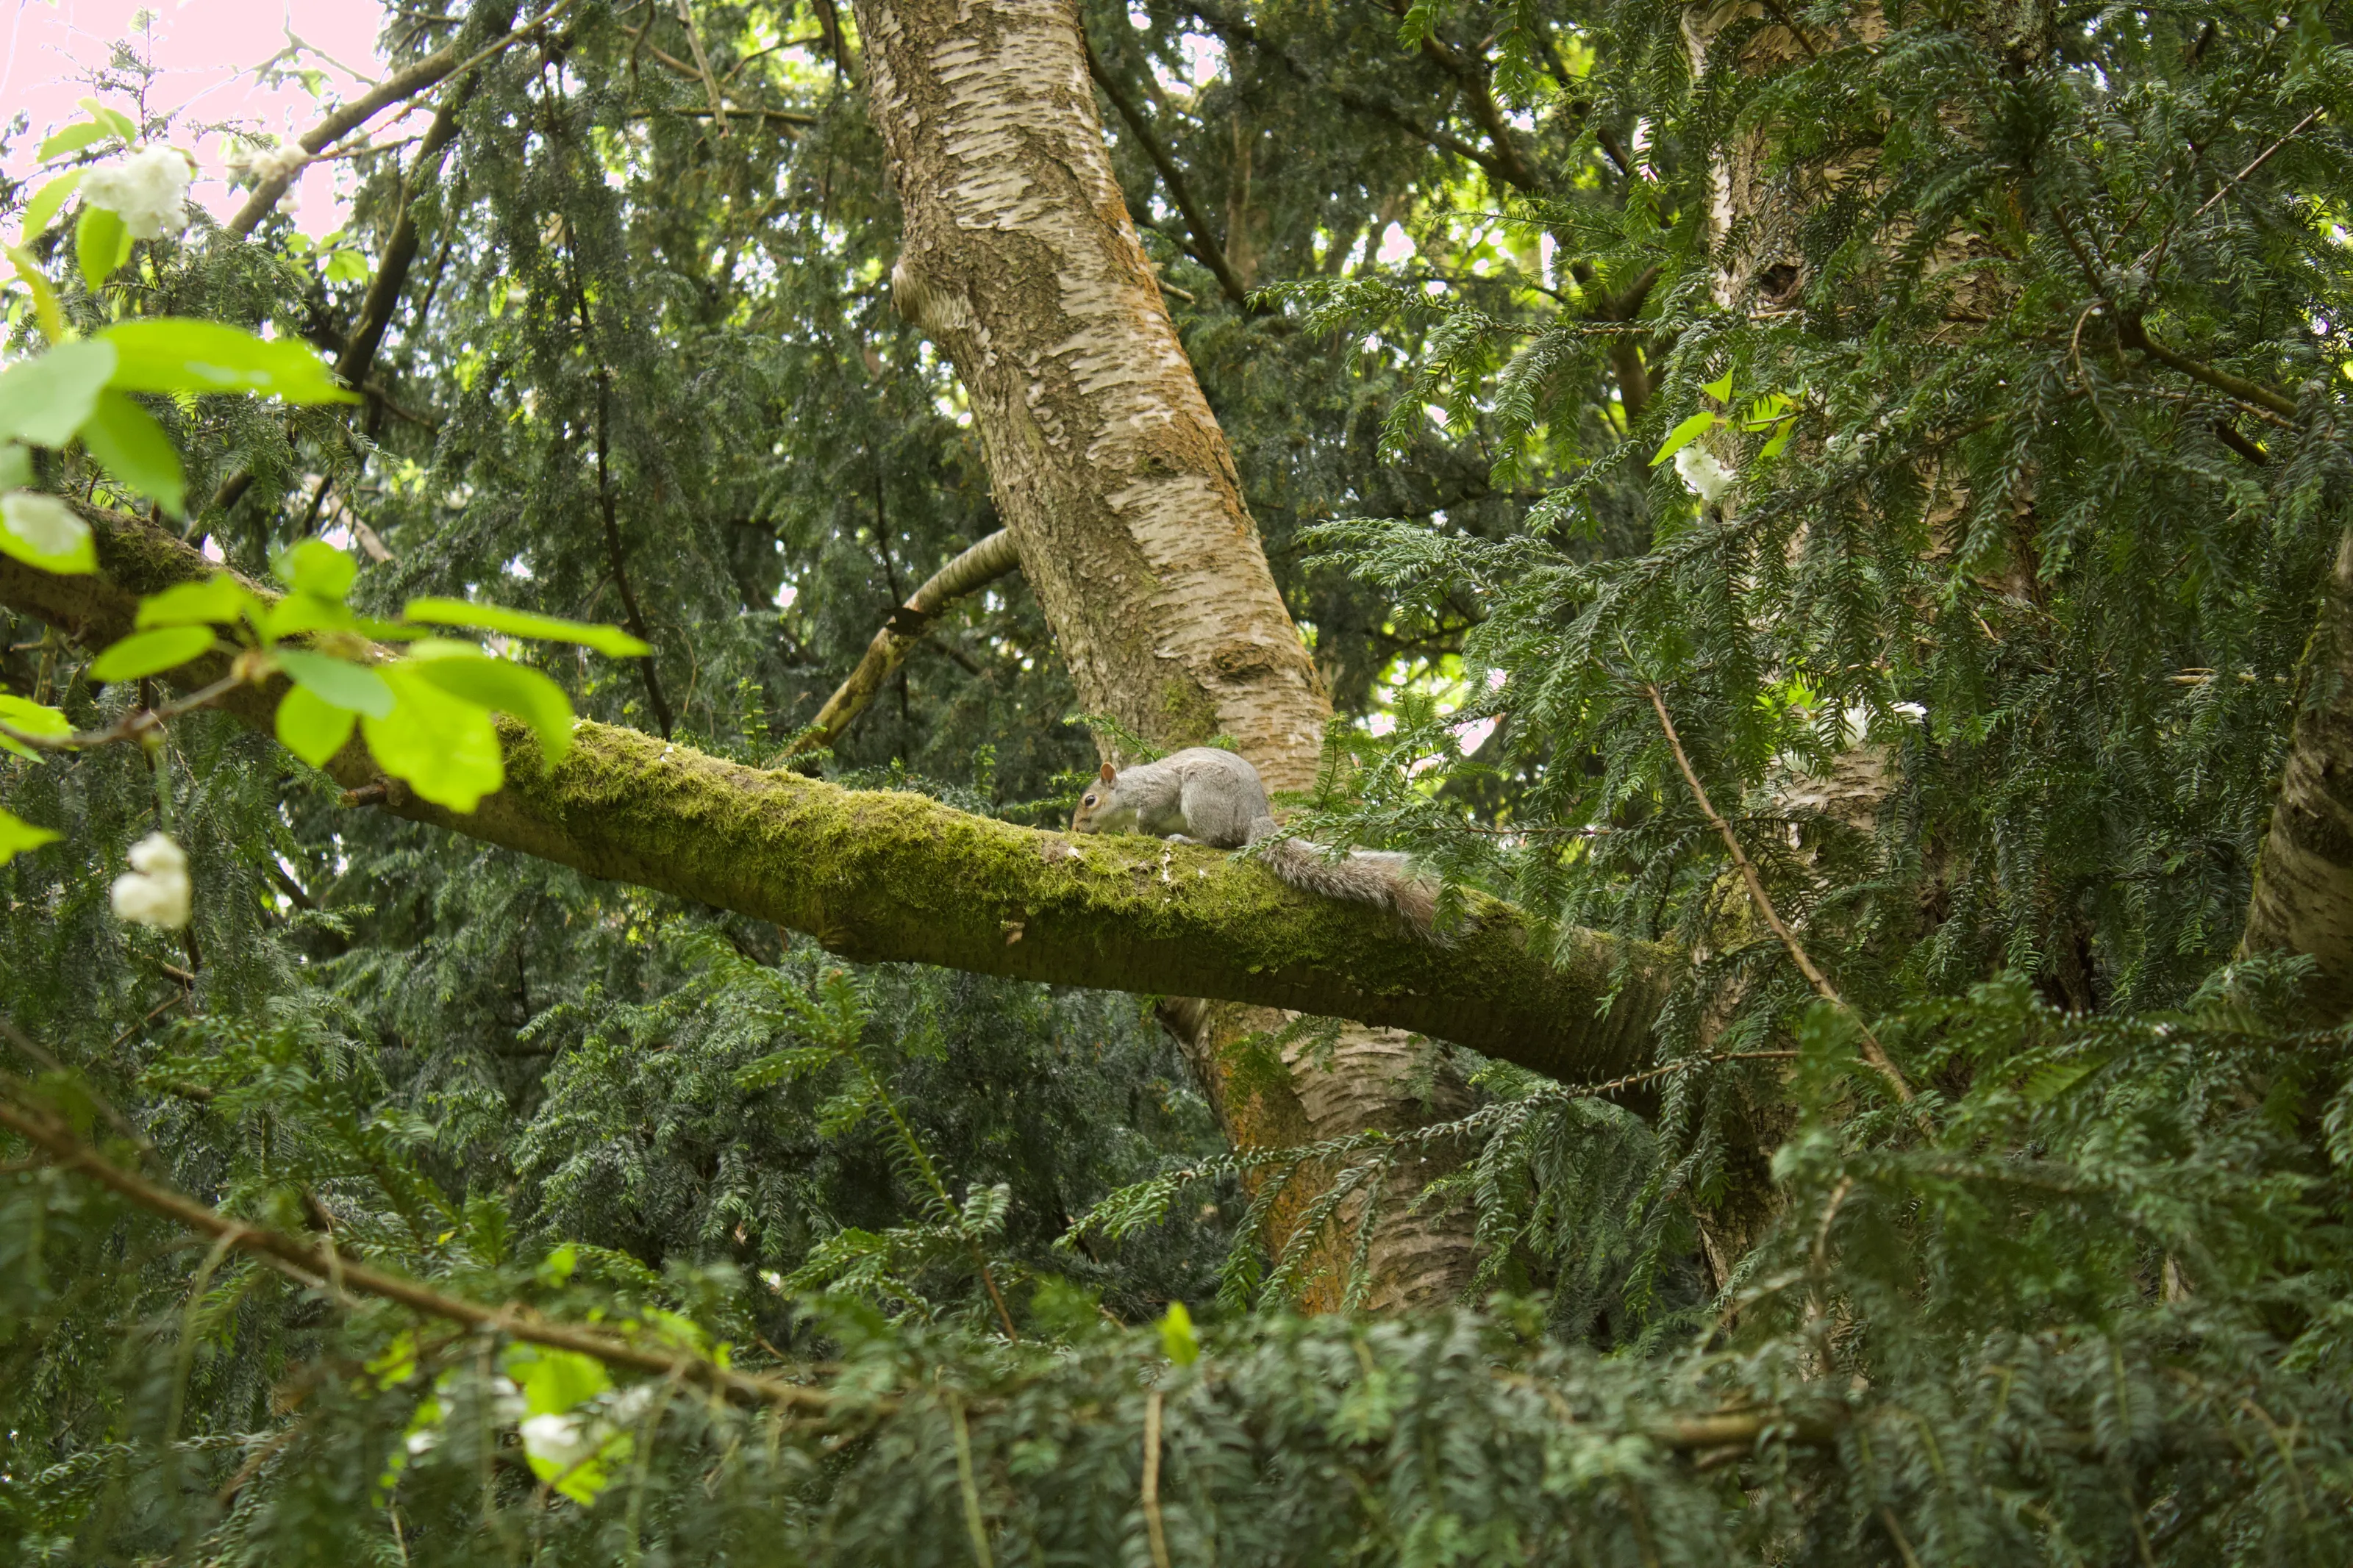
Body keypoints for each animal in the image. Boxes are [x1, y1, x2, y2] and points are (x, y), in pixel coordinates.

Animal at [1068, 747, 1443, 939]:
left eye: (1089, 801)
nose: (1075, 829)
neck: (1126, 791)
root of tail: (1255, 817)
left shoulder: (1157, 791)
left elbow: (1151, 814)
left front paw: (1145, 831)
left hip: (1203, 793)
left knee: (1218, 840)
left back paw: (1187, 840)